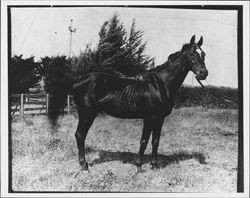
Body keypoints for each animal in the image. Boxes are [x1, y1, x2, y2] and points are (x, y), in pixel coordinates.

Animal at [47, 35, 208, 172]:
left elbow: (155, 141)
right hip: (87, 114)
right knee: (80, 135)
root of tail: (78, 80)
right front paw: (139, 166)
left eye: (204, 54)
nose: (203, 73)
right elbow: (144, 141)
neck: (160, 85)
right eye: (192, 54)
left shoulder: (159, 119)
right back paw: (84, 165)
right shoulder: (150, 118)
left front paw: (154, 165)